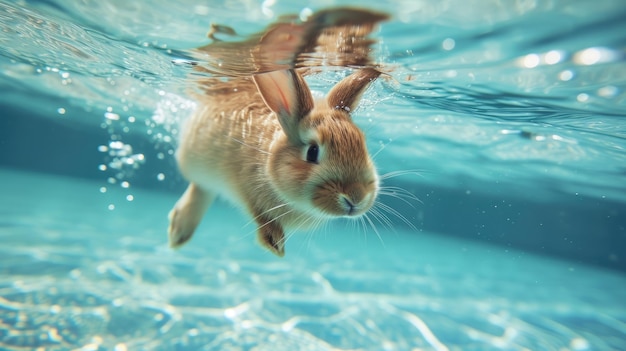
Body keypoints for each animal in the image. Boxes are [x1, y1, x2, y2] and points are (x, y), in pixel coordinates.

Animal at [167, 66, 380, 258]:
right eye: (312, 152)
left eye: (362, 145)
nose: (356, 197)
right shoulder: (246, 185)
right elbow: (260, 213)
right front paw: (274, 243)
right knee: (201, 188)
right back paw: (178, 232)